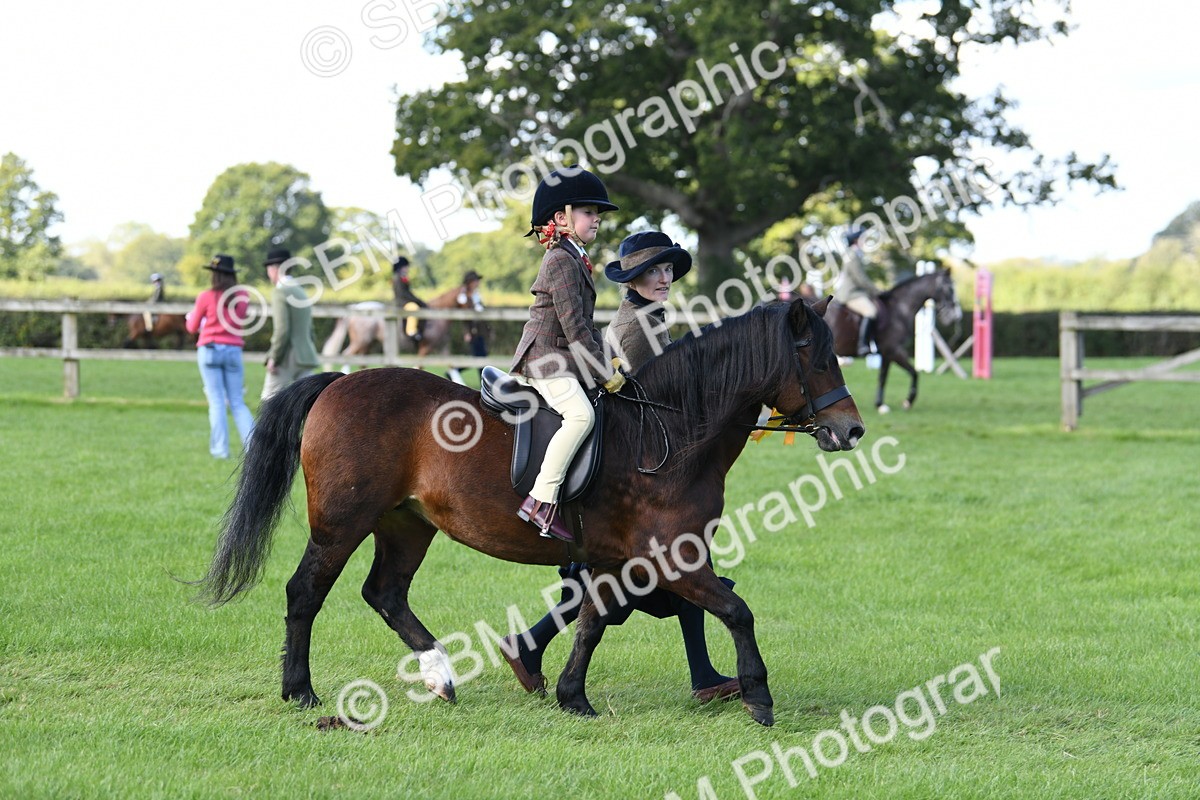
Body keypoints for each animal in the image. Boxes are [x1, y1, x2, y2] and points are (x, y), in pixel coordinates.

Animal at [197, 297, 864, 727]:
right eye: (820, 360)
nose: (852, 430)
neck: (671, 432)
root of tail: (338, 382)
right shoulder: (674, 559)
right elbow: (735, 611)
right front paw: (758, 697)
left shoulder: (619, 562)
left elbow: (593, 621)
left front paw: (571, 696)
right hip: (342, 523)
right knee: (305, 592)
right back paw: (301, 691)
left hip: (407, 523)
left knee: (385, 593)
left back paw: (440, 676)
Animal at [827, 269, 962, 413]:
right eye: (949, 288)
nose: (956, 316)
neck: (899, 309)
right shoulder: (893, 350)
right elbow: (912, 373)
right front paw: (906, 402)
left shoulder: (887, 354)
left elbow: (884, 377)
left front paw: (880, 404)